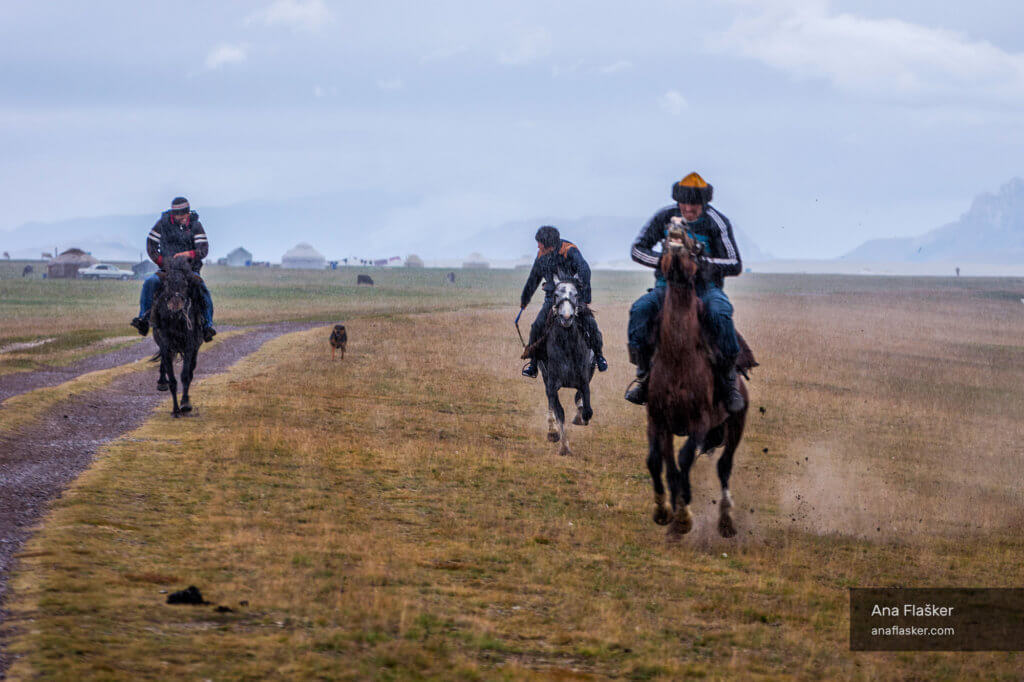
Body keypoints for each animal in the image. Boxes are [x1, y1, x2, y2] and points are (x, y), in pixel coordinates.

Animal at [149, 254, 204, 413]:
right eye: (167, 283)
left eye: (185, 282)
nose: (175, 305)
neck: (176, 319)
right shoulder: (166, 345)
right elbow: (172, 379)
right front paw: (175, 410)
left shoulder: (190, 346)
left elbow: (186, 375)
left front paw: (185, 403)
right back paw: (162, 382)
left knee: (191, 370)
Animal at [524, 276, 598, 456]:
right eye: (556, 294)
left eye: (576, 294)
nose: (566, 317)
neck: (567, 346)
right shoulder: (552, 384)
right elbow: (559, 412)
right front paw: (562, 445)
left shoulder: (584, 380)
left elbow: (586, 407)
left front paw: (580, 416)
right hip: (545, 377)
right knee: (550, 402)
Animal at [647, 224, 753, 540]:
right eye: (663, 244)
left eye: (697, 249)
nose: (676, 224)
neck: (679, 357)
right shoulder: (657, 419)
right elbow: (658, 462)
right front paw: (664, 510)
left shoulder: (700, 422)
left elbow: (683, 460)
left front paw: (683, 514)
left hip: (736, 424)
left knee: (724, 466)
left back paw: (726, 521)